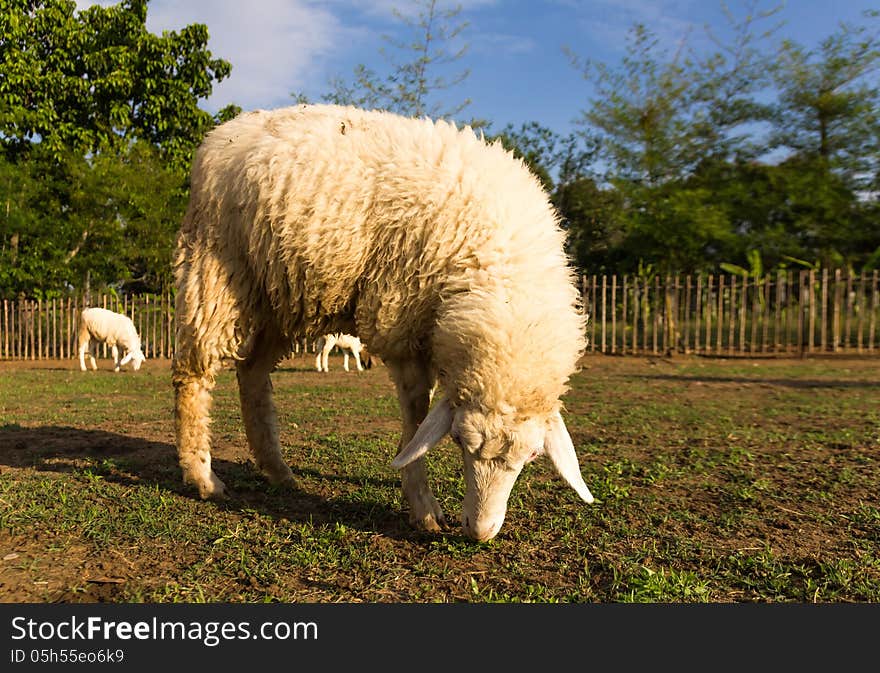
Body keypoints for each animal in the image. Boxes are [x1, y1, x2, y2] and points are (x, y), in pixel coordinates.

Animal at [170, 103, 600, 540]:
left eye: (531, 456)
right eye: (457, 440)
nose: (479, 532)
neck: (499, 271)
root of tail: (223, 133)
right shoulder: (402, 321)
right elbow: (416, 415)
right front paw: (423, 507)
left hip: (278, 292)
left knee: (253, 373)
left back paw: (277, 470)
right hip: (217, 269)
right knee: (193, 373)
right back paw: (202, 476)